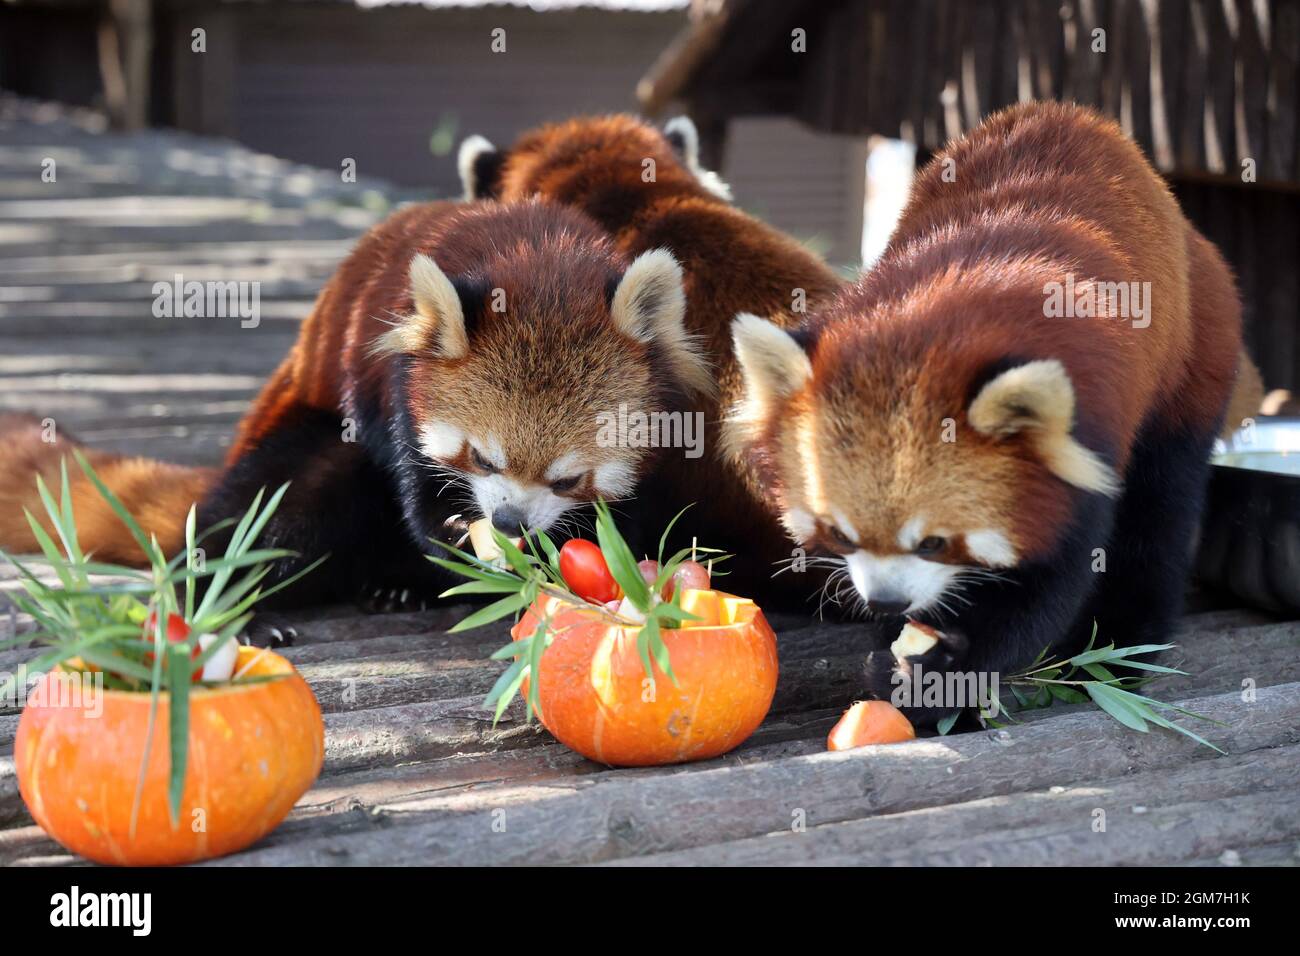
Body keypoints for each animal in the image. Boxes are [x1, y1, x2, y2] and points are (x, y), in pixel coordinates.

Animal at [2, 200, 712, 613]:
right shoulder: (393, 382)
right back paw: (221, 599)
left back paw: (400, 586)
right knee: (270, 503)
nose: (508, 523)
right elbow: (413, 483)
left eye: (567, 479)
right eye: (481, 459)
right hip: (299, 430)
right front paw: (456, 536)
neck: (541, 258)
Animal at [728, 100, 1242, 723]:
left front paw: (940, 676)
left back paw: (1122, 652)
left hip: (1193, 363)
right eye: (839, 533)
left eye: (934, 542)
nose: (887, 599)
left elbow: (1042, 590)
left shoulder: (1084, 441)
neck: (937, 322)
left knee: (1159, 515)